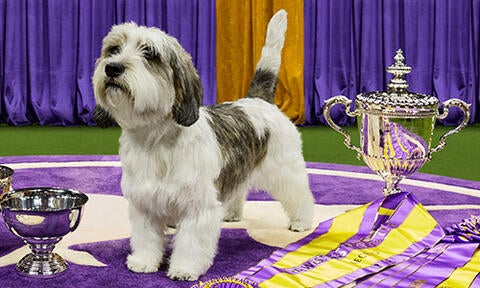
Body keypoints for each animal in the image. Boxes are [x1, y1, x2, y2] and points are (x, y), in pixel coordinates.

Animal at [93, 10, 316, 280]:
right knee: (238, 188)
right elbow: (146, 239)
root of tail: (258, 100)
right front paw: (144, 262)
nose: (112, 67)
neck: (155, 140)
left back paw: (302, 221)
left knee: (299, 194)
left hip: (285, 169)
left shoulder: (197, 207)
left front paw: (184, 268)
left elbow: (191, 242)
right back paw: (231, 213)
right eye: (113, 49)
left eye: (150, 54)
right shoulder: (143, 204)